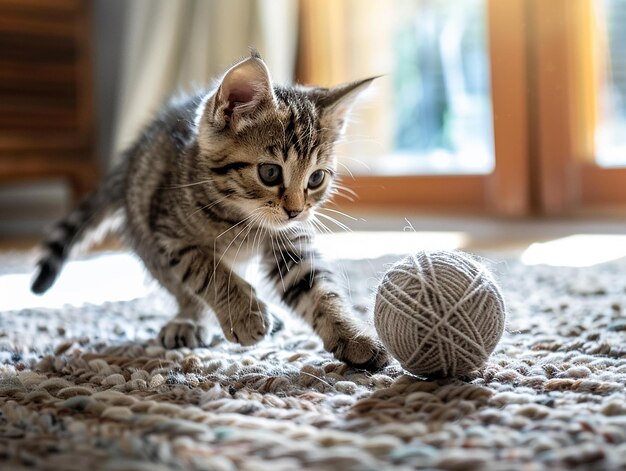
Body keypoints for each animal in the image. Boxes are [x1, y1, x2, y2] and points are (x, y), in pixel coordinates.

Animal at [33, 49, 390, 370]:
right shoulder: (171, 235)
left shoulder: (289, 242)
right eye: (270, 173)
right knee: (183, 290)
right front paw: (244, 314)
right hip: (146, 236)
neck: (243, 219)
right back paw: (190, 321)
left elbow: (318, 289)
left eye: (316, 178)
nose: (296, 211)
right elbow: (209, 273)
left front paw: (354, 337)